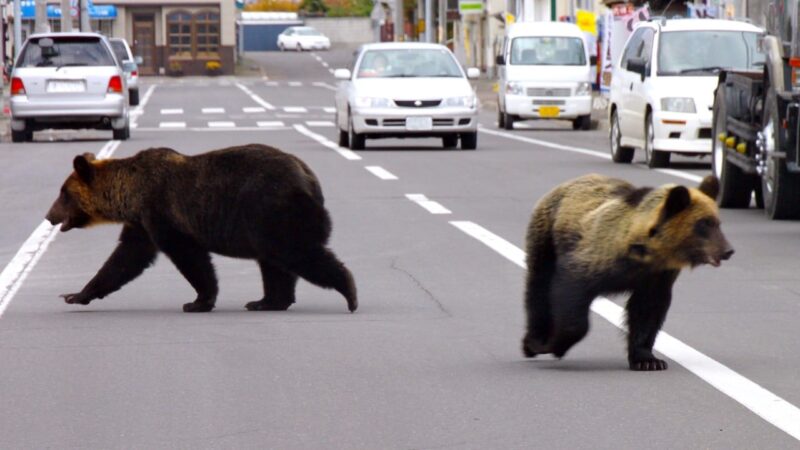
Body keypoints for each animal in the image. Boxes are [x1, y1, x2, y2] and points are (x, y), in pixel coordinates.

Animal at [45, 143, 357, 313]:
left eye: (63, 194)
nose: (49, 216)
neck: (129, 195)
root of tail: (309, 178)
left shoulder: (161, 212)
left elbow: (189, 257)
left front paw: (198, 301)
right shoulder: (142, 223)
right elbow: (124, 259)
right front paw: (75, 294)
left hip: (272, 209)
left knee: (296, 252)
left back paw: (349, 292)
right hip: (266, 221)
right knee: (274, 262)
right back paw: (266, 301)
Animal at [521, 174, 733, 371]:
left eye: (717, 222)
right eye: (704, 223)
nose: (728, 250)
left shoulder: (656, 276)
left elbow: (647, 311)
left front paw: (648, 360)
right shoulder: (594, 258)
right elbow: (571, 293)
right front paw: (554, 345)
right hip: (547, 236)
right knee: (538, 285)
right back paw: (533, 341)